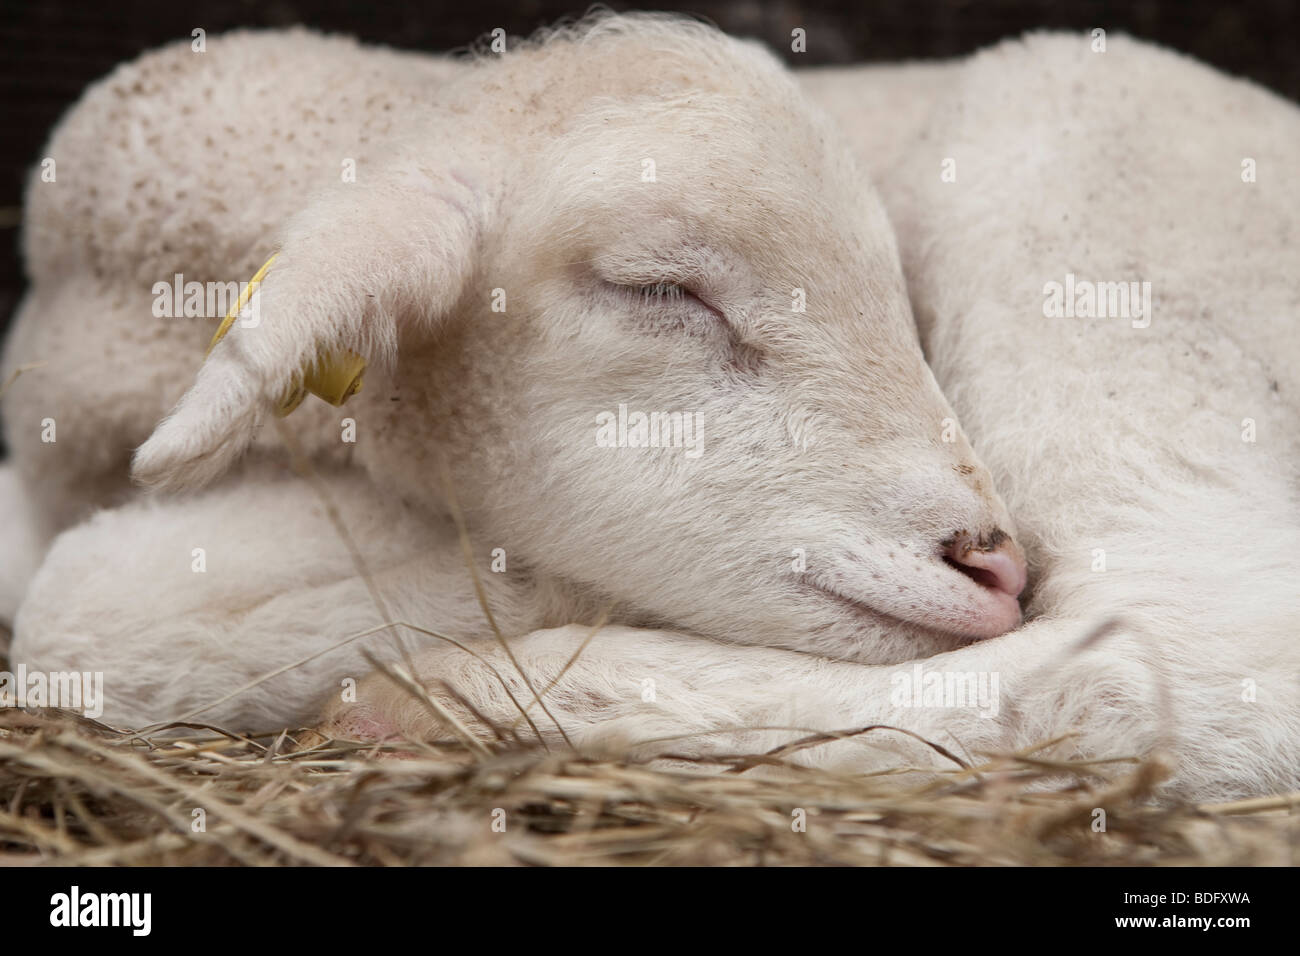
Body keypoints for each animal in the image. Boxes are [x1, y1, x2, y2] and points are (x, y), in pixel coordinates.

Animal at [2, 18, 1300, 806]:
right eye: (660, 289)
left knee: (1188, 631)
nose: (990, 564)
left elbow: (85, 610)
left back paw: (441, 697)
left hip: (1069, 184)